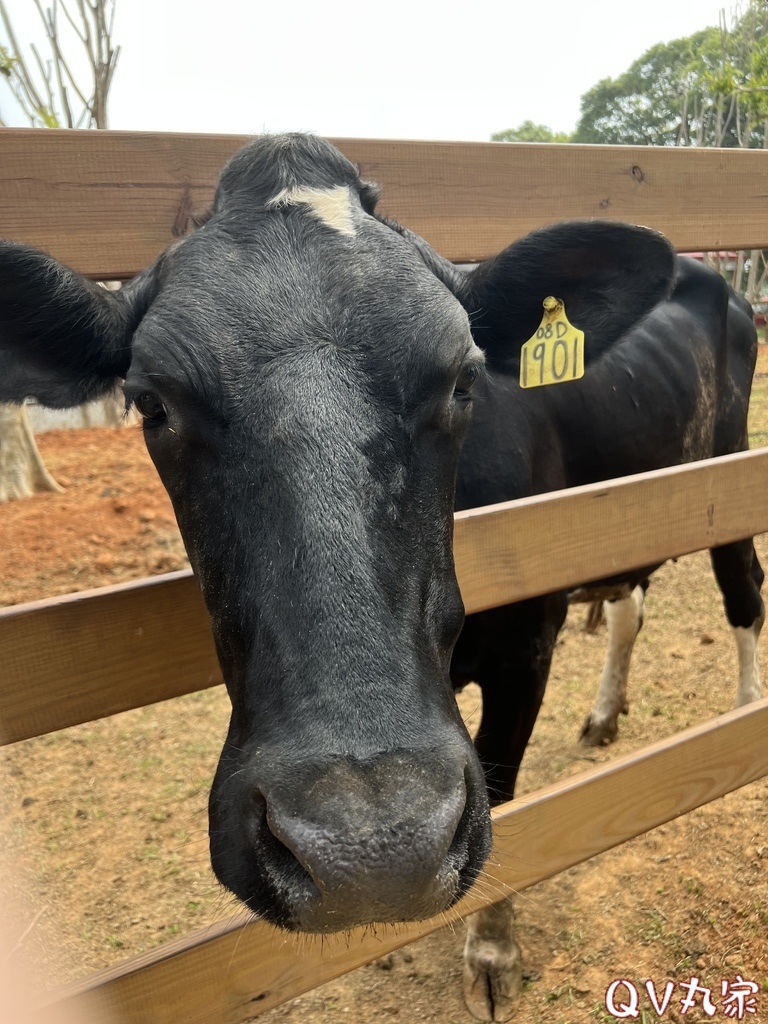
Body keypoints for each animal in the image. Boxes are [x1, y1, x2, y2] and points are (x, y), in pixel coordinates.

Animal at [0, 136, 757, 1024]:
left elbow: (504, 787)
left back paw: (742, 717)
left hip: (727, 468)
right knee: (633, 600)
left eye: (464, 378)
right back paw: (607, 711)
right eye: (151, 402)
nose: (369, 851)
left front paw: (491, 948)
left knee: (743, 591)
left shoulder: (526, 646)